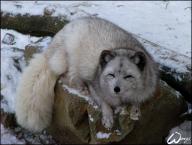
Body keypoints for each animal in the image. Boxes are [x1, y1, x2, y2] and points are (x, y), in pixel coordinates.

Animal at [15, 16, 158, 131]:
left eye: (128, 76)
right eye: (111, 75)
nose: (116, 89)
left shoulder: (147, 88)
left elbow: (138, 99)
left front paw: (135, 110)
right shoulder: (93, 85)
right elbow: (103, 102)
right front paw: (108, 117)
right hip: (65, 61)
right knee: (65, 77)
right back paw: (81, 87)